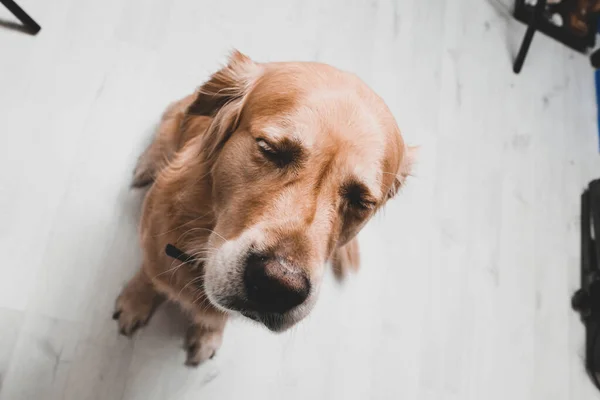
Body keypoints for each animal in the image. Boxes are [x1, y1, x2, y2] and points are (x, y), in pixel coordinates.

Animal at [112, 51, 414, 368]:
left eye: (361, 200)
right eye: (270, 149)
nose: (277, 286)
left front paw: (208, 334)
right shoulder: (154, 246)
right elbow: (149, 276)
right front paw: (134, 302)